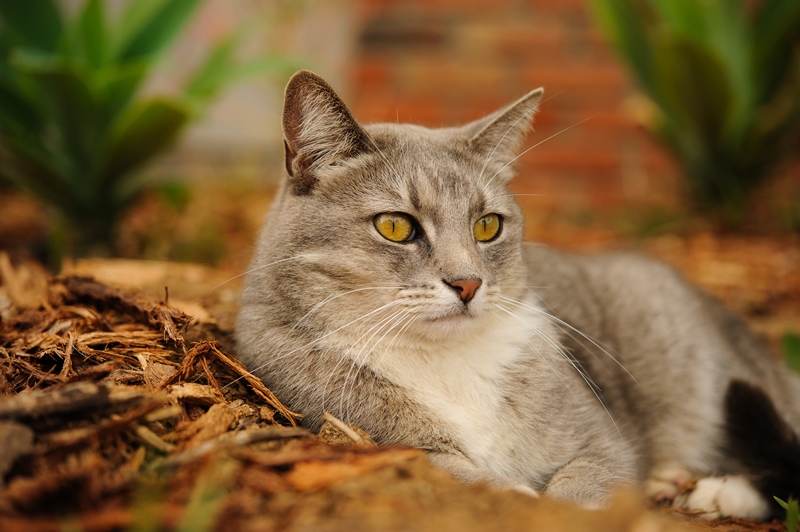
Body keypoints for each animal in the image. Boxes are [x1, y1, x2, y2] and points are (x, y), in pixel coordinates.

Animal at [236, 70, 800, 520]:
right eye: (395, 226)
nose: (468, 283)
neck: (445, 359)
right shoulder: (360, 433)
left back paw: (713, 492)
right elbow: (448, 467)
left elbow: (588, 480)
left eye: (487, 226)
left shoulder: (602, 443)